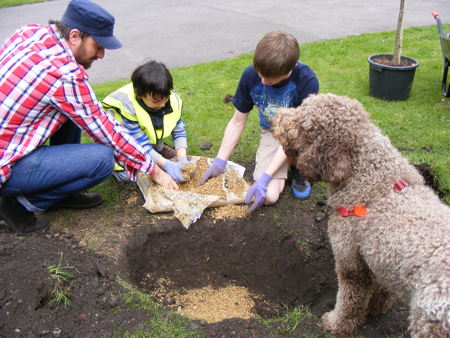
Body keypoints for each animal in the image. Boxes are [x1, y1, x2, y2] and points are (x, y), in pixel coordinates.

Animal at [272, 93, 448, 336]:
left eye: (303, 121)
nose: (276, 116)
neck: (370, 176)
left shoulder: (350, 259)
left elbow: (350, 300)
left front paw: (337, 324)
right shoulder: (381, 259)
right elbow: (381, 288)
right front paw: (377, 307)